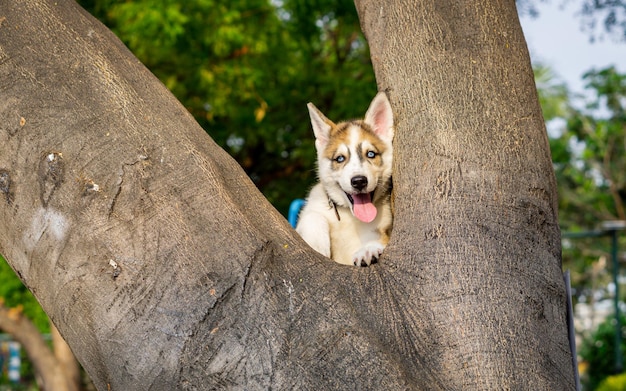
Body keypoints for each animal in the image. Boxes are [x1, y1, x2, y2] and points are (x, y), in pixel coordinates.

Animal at [294, 93, 392, 268]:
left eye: (371, 154)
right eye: (340, 158)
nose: (359, 181)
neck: (349, 217)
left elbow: (381, 238)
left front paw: (368, 249)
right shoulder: (313, 207)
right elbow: (312, 217)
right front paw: (317, 242)